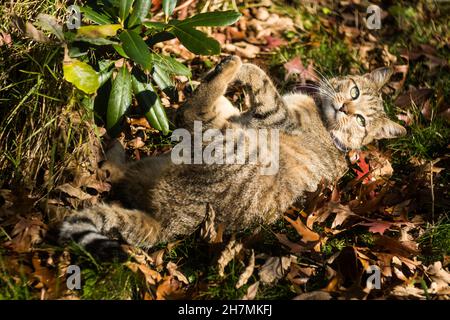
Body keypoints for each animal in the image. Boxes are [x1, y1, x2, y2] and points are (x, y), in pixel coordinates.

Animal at [58, 55, 406, 260]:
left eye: (361, 121)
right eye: (355, 93)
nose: (345, 109)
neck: (327, 124)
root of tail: (170, 224)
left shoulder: (274, 116)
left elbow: (261, 81)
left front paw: (241, 68)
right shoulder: (241, 115)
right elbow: (238, 100)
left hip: (225, 144)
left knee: (190, 112)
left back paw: (228, 67)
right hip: (160, 162)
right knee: (122, 176)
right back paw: (112, 154)